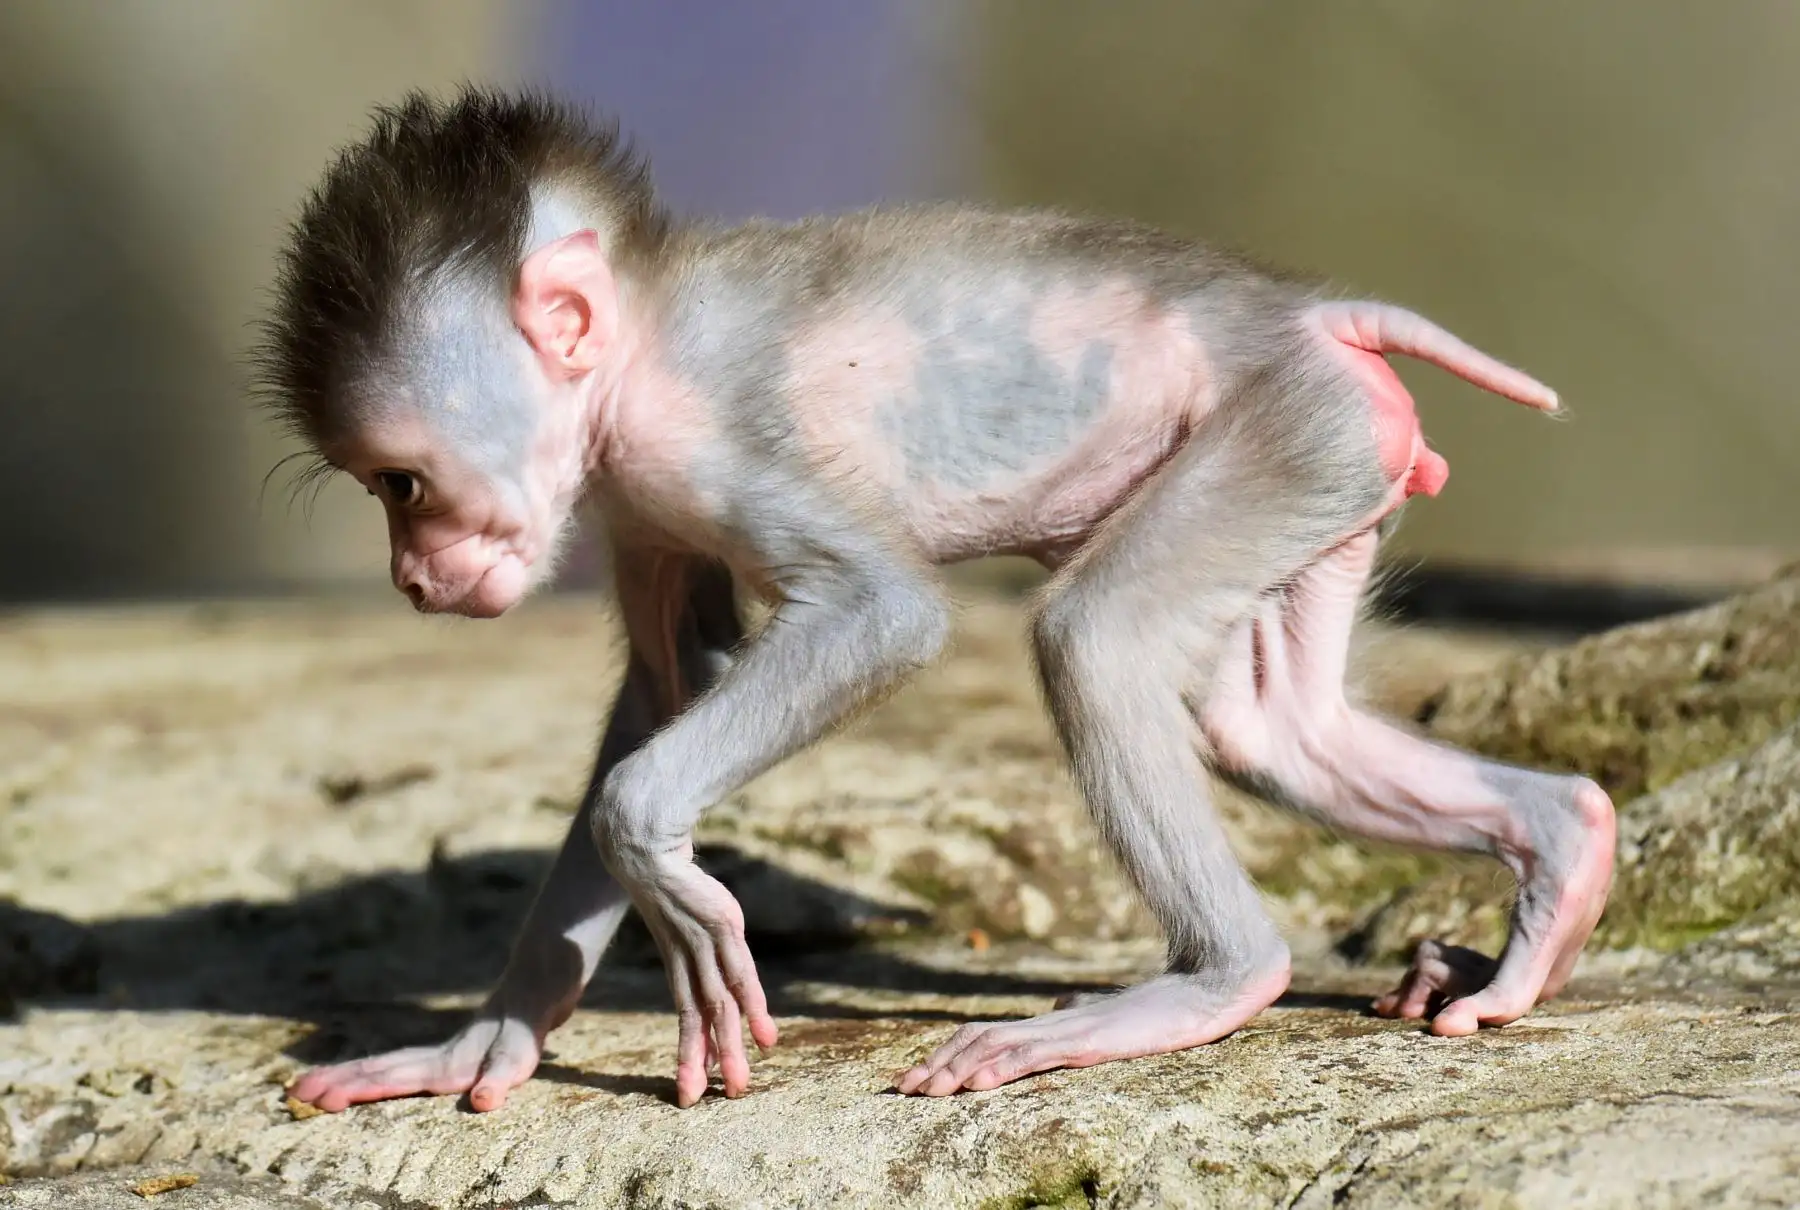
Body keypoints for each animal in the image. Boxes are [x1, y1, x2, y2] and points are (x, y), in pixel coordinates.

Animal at [257, 87, 1615, 1113]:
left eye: (404, 482)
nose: (414, 573)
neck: (635, 350)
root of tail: (1308, 312)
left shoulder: (697, 446)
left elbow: (879, 617)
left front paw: (659, 866)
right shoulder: (637, 510)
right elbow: (664, 690)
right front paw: (490, 1036)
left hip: (1287, 430)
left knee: (1097, 642)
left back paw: (1216, 981)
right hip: (1338, 463)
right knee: (1278, 731)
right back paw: (1564, 847)